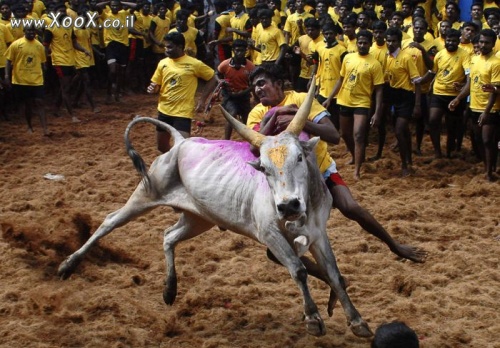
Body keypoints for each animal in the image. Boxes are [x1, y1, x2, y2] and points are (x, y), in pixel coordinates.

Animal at [56, 86, 374, 338]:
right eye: (264, 168)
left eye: (299, 157)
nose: (288, 206)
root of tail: (181, 142)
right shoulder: (271, 236)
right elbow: (298, 270)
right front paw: (312, 318)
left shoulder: (319, 234)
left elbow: (334, 274)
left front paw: (357, 321)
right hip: (145, 195)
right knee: (109, 222)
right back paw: (68, 265)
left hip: (198, 219)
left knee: (168, 236)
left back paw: (170, 289)